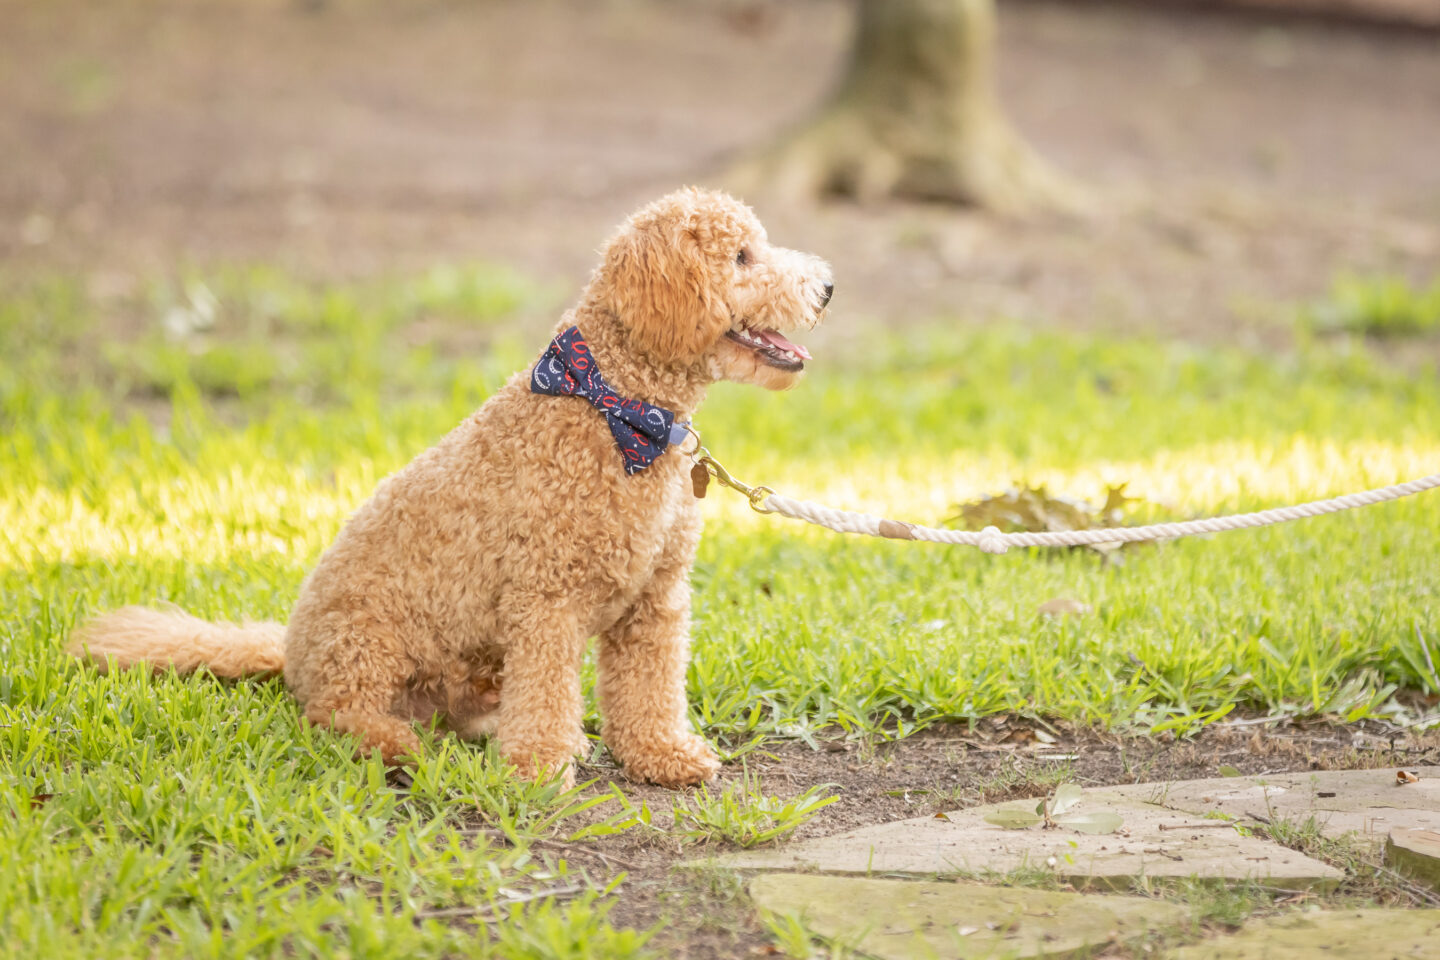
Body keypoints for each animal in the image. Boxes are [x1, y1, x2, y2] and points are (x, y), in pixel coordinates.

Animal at [70, 185, 835, 788]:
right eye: (742, 258)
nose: (827, 287)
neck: (616, 409)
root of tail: (287, 650)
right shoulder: (546, 602)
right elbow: (547, 695)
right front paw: (542, 770)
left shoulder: (656, 600)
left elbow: (648, 692)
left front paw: (661, 755)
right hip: (366, 640)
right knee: (338, 715)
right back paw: (401, 746)